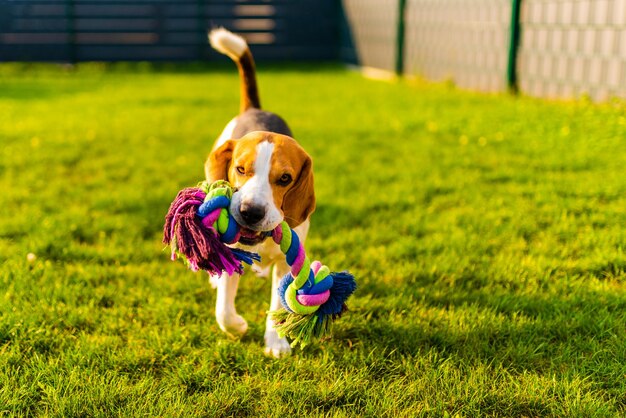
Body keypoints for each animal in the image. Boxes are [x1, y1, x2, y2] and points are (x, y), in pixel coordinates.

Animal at [206, 28, 314, 356]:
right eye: (240, 169)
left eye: (285, 178)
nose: (250, 212)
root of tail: (255, 108)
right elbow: (223, 310)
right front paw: (238, 327)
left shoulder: (287, 262)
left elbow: (278, 304)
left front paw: (276, 342)